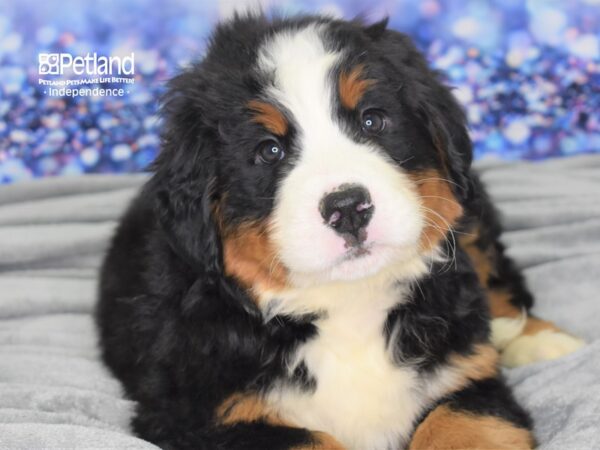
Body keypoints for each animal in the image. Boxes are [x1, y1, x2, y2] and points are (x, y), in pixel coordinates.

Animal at [96, 13, 584, 450]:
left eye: (372, 120)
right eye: (269, 151)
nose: (348, 208)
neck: (349, 306)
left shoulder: (466, 382)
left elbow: (455, 423)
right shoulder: (199, 416)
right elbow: (309, 440)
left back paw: (544, 341)